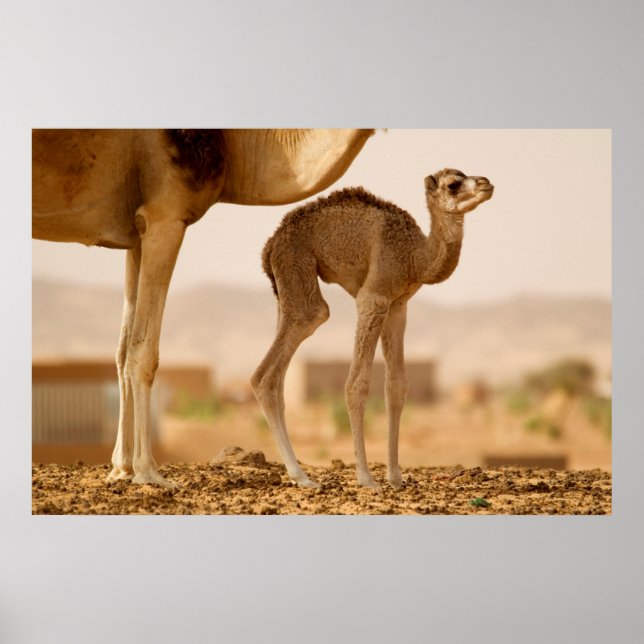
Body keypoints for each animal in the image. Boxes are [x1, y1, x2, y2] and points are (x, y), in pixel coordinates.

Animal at [32, 128, 374, 487]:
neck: (228, 143)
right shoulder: (165, 215)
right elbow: (144, 353)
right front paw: (148, 472)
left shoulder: (135, 233)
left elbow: (123, 352)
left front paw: (122, 469)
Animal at [252, 169, 494, 489]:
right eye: (453, 184)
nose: (486, 184)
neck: (414, 256)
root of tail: (270, 246)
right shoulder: (373, 297)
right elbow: (357, 384)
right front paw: (367, 478)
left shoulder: (399, 305)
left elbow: (397, 386)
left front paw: (395, 476)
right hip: (297, 270)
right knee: (274, 364)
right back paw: (302, 477)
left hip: (285, 290)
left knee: (278, 377)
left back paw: (299, 473)